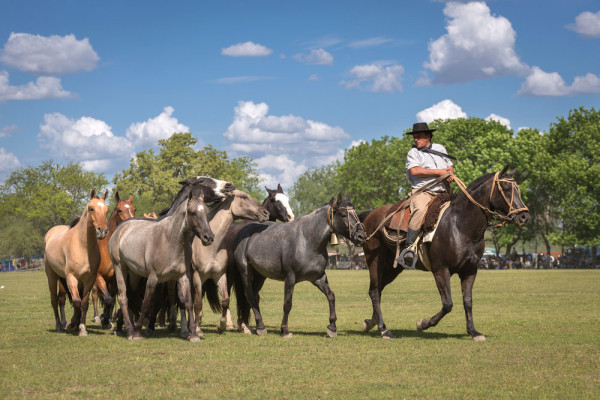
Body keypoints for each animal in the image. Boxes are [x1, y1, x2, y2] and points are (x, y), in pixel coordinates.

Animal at [45, 189, 110, 336]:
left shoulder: (89, 279)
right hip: (52, 276)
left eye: (106, 210)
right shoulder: (71, 278)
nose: (102, 231)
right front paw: (72, 324)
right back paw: (59, 325)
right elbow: (76, 302)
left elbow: (84, 304)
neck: (82, 246)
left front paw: (82, 328)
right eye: (91, 208)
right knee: (54, 300)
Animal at [233, 194, 366, 338]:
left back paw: (257, 325)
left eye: (356, 214)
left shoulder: (318, 278)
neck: (307, 241)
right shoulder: (290, 278)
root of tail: (243, 232)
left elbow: (331, 296)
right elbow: (287, 304)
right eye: (343, 214)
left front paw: (332, 327)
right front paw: (285, 330)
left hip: (260, 275)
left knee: (254, 295)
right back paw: (260, 327)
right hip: (246, 272)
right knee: (249, 295)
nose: (361, 236)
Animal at [358, 166, 528, 340]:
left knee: (378, 289)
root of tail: (370, 215)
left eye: (517, 189)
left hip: (394, 267)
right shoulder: (441, 269)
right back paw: (383, 329)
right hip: (375, 261)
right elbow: (448, 304)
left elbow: (468, 301)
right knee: (374, 291)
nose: (524, 216)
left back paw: (370, 323)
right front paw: (423, 323)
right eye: (506, 189)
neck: (461, 225)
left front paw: (473, 331)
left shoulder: (470, 270)